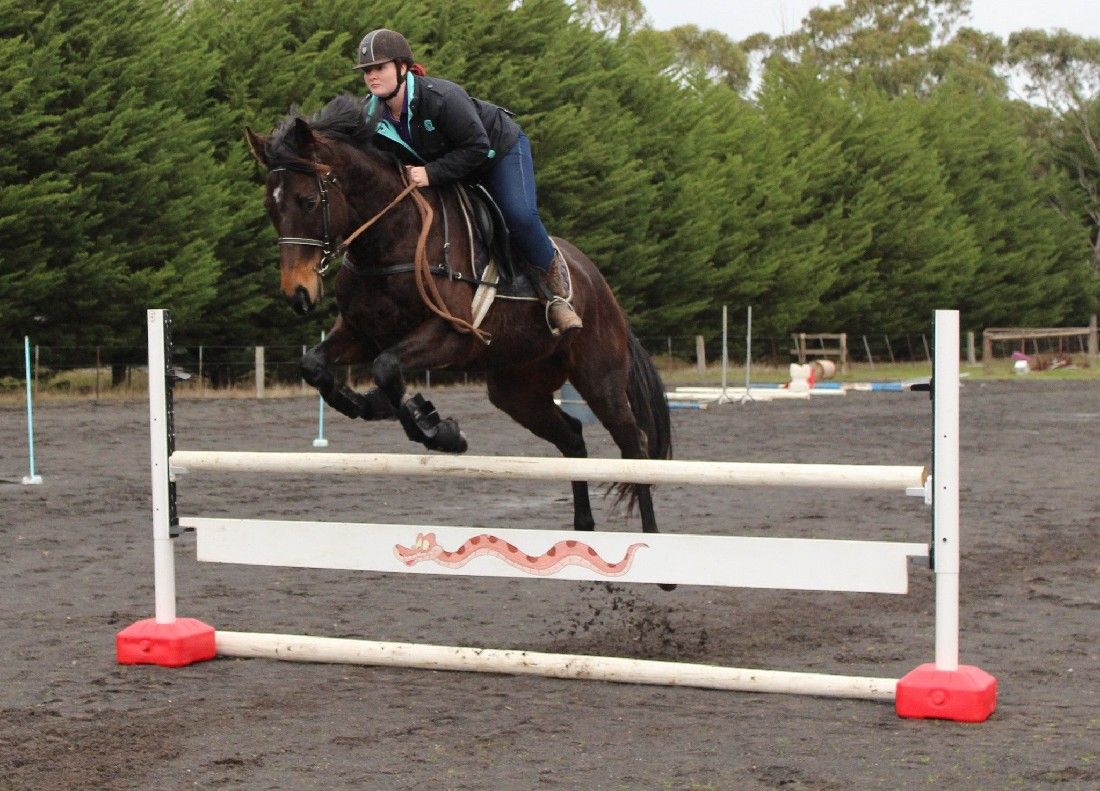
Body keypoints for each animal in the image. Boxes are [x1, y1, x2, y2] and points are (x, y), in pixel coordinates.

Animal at [247, 94, 668, 539]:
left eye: (309, 202)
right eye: (270, 207)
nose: (298, 294)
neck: (391, 240)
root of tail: (600, 284)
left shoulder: (454, 335)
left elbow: (386, 366)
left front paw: (440, 430)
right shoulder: (361, 333)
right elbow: (316, 365)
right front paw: (369, 404)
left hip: (599, 377)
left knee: (634, 446)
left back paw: (653, 539)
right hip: (517, 389)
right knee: (572, 437)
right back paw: (583, 527)